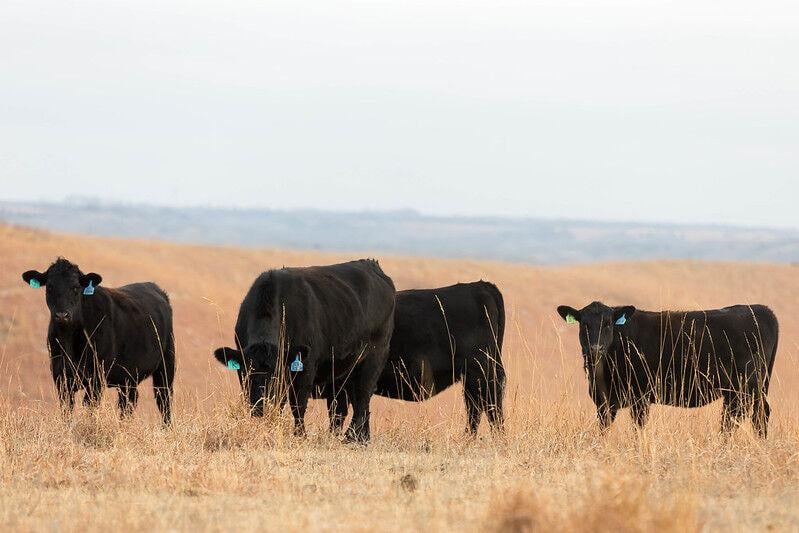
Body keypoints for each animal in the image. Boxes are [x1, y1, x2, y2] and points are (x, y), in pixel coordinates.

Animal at [22, 258, 175, 424]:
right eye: (49, 287)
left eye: (75, 287)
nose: (62, 315)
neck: (69, 339)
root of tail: (154, 287)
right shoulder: (60, 377)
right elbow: (67, 410)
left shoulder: (96, 378)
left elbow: (90, 407)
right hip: (129, 377)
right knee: (128, 403)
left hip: (166, 366)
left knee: (164, 401)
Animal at [213, 259, 395, 443]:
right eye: (248, 373)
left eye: (276, 375)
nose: (260, 409)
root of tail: (371, 264)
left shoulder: (305, 366)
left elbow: (297, 404)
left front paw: (299, 435)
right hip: (342, 372)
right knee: (340, 409)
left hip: (374, 357)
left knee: (361, 400)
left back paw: (352, 438)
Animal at [323, 281, 506, 435]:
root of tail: (480, 286)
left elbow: (340, 414)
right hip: (472, 377)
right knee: (477, 408)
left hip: (480, 374)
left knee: (488, 409)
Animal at [556, 301, 779, 437]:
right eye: (584, 324)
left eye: (609, 324)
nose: (595, 348)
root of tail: (759, 309)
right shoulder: (603, 401)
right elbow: (604, 429)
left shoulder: (640, 396)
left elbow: (638, 428)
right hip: (748, 388)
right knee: (747, 416)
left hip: (746, 385)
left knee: (743, 416)